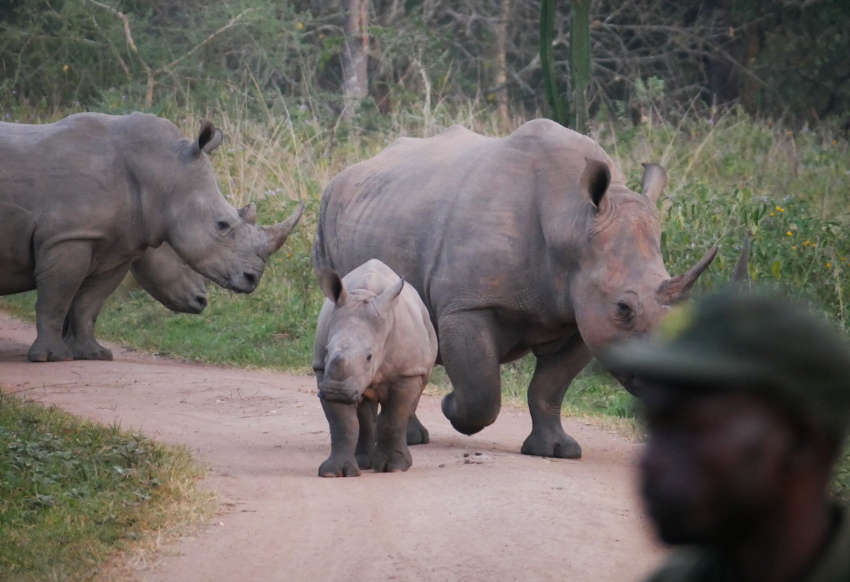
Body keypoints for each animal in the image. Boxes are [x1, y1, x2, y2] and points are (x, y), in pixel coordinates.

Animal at [314, 260, 440, 480]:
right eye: (327, 350)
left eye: (369, 356)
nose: (337, 391)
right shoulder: (323, 370)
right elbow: (343, 424)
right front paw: (333, 473)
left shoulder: (407, 373)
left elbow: (393, 419)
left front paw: (394, 467)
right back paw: (364, 462)